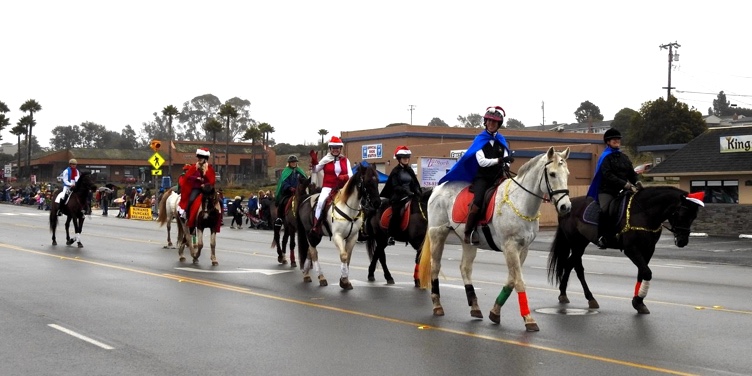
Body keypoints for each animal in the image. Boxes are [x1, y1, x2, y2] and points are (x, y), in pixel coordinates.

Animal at [418, 147, 568, 332]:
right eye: (552, 174)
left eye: (567, 173)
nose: (565, 206)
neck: (520, 201)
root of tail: (436, 189)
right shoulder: (510, 247)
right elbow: (519, 282)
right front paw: (529, 319)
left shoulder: (523, 249)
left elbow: (511, 281)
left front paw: (495, 311)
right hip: (438, 234)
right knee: (435, 266)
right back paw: (437, 305)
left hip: (468, 241)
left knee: (465, 268)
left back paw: (475, 306)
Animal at [548, 186, 704, 314]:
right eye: (681, 214)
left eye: (694, 216)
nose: (682, 241)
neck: (644, 212)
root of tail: (567, 206)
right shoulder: (631, 249)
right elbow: (647, 272)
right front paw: (638, 301)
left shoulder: (648, 249)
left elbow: (642, 272)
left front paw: (639, 302)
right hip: (577, 243)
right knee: (577, 267)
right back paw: (589, 297)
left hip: (581, 243)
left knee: (569, 264)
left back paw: (563, 293)